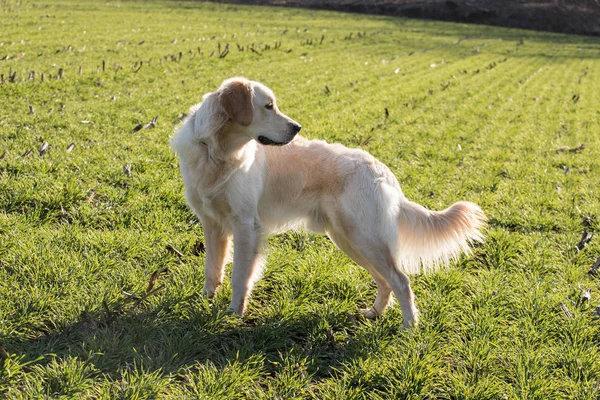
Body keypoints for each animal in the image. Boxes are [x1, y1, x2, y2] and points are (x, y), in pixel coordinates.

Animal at [171, 77, 486, 328]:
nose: (297, 127)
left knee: (401, 280)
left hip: (364, 237)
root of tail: (382, 170)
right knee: (385, 281)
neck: (216, 153)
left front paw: (233, 314)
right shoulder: (212, 224)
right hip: (348, 239)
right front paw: (205, 301)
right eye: (268, 106)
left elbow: (239, 276)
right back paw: (373, 313)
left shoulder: (247, 226)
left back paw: (409, 327)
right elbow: (212, 269)